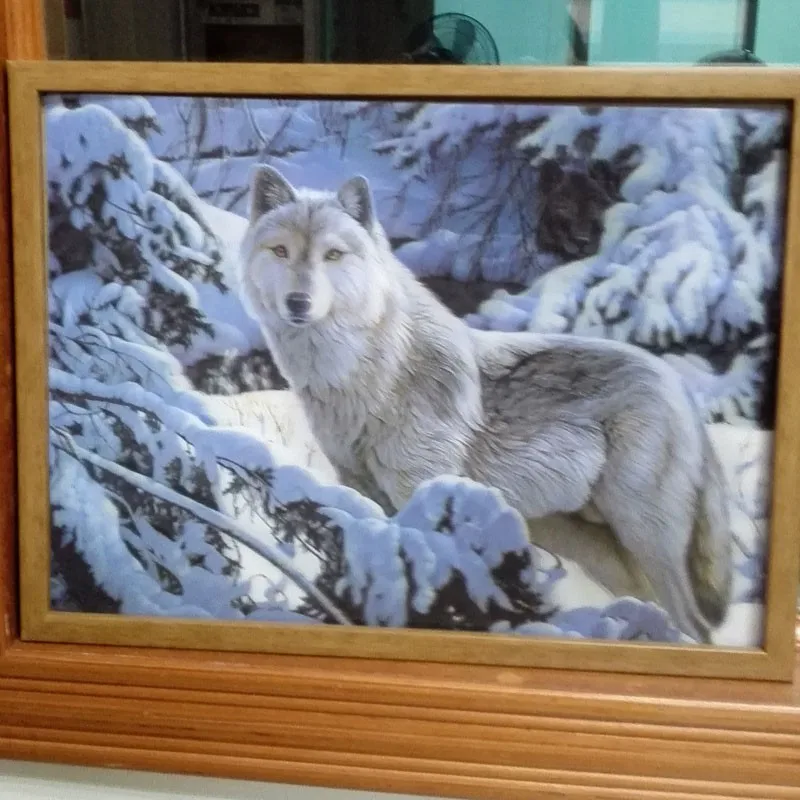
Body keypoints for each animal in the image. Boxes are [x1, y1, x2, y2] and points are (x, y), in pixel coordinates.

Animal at [238, 164, 734, 643]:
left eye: (333, 255)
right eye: (281, 251)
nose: (298, 302)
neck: (367, 375)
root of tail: (678, 386)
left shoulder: (423, 489)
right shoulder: (363, 491)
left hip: (646, 540)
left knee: (699, 626)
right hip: (602, 553)